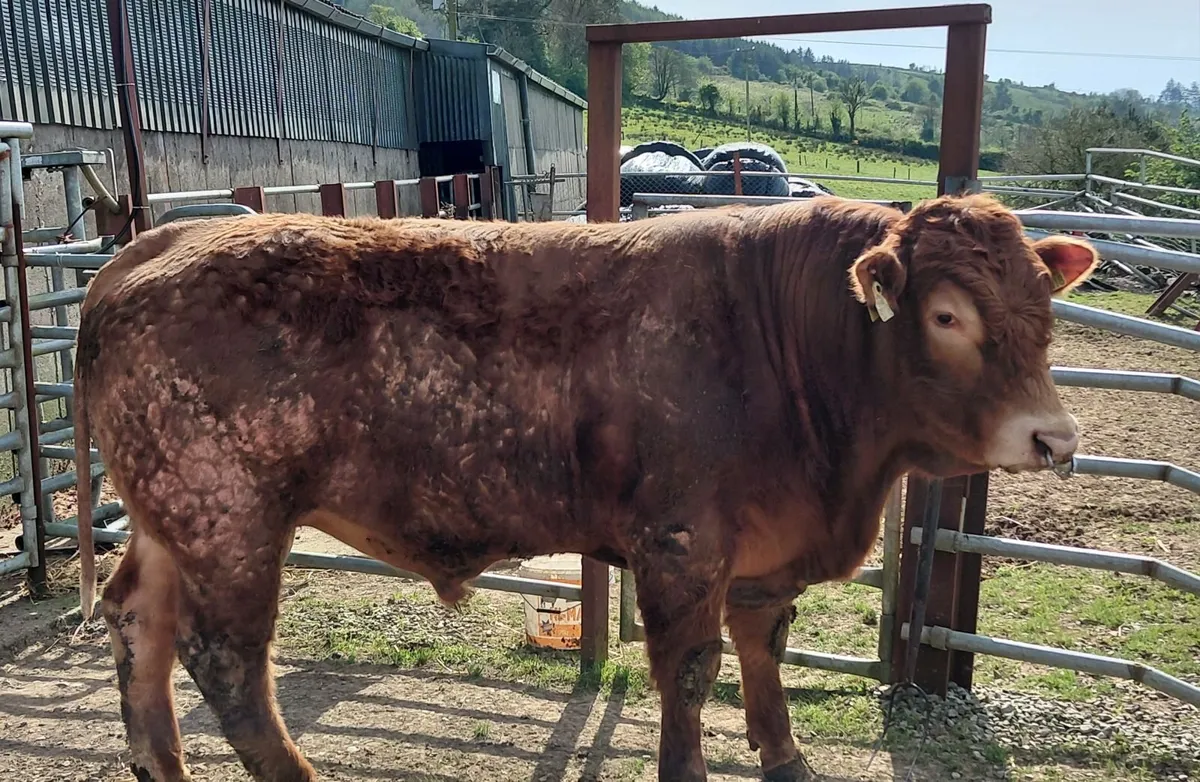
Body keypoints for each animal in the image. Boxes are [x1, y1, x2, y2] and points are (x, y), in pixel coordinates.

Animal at [72, 193, 1098, 782]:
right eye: (947, 315)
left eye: (1045, 309)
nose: (1054, 437)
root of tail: (162, 239)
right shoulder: (681, 546)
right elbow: (691, 670)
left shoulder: (763, 553)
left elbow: (762, 649)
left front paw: (785, 757)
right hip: (230, 519)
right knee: (227, 663)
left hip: (169, 520)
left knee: (138, 624)